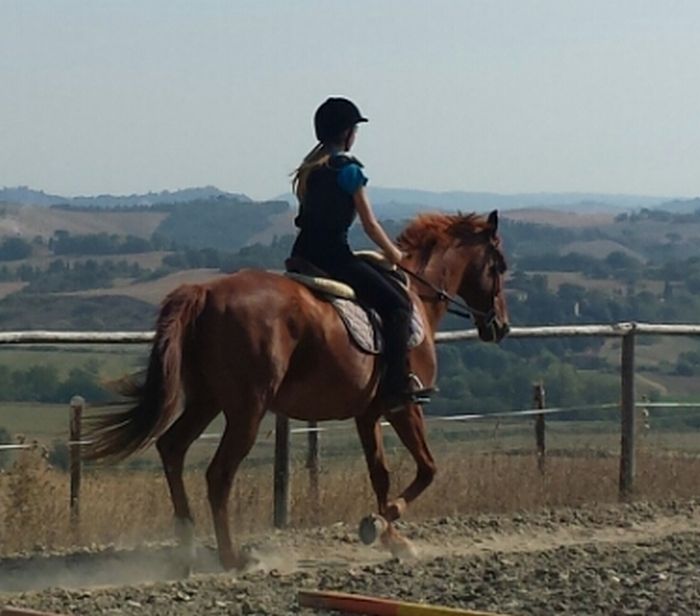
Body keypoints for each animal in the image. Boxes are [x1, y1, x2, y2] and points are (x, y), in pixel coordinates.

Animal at [85, 209, 508, 572]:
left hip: (208, 400)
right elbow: (427, 469)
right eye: (499, 266)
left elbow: (381, 474)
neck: (417, 295)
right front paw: (379, 523)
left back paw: (187, 549)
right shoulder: (403, 407)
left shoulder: (368, 413)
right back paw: (232, 557)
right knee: (218, 475)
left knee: (172, 448)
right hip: (246, 410)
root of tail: (205, 293)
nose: (499, 326)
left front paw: (391, 538)